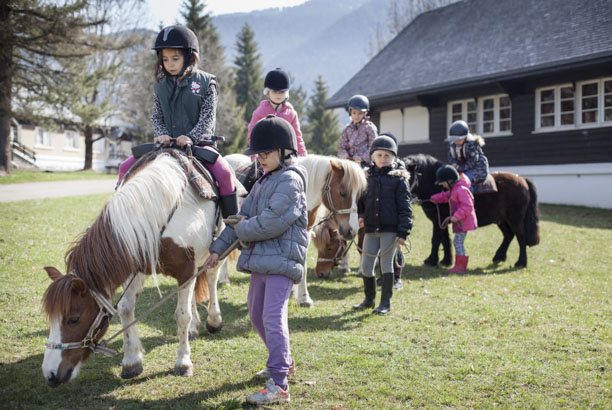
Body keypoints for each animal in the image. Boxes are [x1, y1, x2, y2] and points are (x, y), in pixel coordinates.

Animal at [43, 154, 225, 388]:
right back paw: (194, 328)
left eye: (73, 319)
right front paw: (131, 360)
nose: (50, 374)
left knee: (211, 279)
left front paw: (183, 361)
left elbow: (182, 315)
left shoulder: (187, 270)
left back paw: (214, 320)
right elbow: (125, 309)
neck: (158, 216)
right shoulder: (136, 267)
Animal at [222, 155, 366, 308]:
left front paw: (303, 298)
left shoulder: (304, 233)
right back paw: (224, 279)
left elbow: (301, 262)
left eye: (359, 196)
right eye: (342, 193)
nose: (352, 230)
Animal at [406, 154, 540, 270]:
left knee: (521, 237)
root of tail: (522, 179)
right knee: (508, 235)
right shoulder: (440, 220)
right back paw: (499, 257)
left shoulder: (439, 220)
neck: (436, 186)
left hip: (515, 219)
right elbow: (444, 239)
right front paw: (446, 260)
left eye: (408, 177)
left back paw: (521, 262)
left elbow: (436, 239)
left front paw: (431, 260)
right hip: (501, 220)